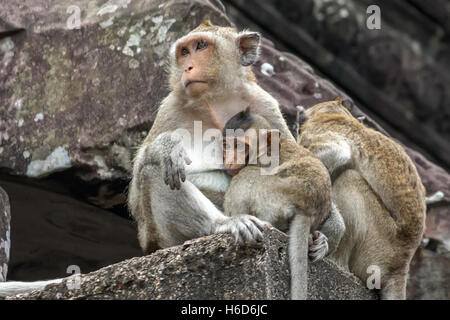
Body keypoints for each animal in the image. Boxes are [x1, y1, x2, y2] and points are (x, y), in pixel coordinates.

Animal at [127, 21, 296, 254]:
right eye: (184, 52)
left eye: (201, 45)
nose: (187, 67)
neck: (216, 102)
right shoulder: (170, 108)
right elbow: (136, 198)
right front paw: (166, 147)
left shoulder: (266, 104)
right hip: (158, 238)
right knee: (153, 171)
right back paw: (223, 223)